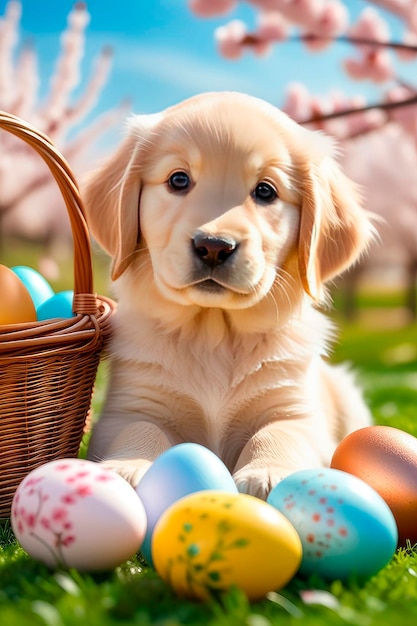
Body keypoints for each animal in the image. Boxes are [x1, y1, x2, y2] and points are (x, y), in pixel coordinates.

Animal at [83, 90, 372, 498]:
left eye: (265, 191)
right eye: (178, 180)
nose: (213, 246)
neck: (213, 334)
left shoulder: (296, 409)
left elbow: (280, 432)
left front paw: (268, 471)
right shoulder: (129, 405)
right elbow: (140, 428)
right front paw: (128, 466)